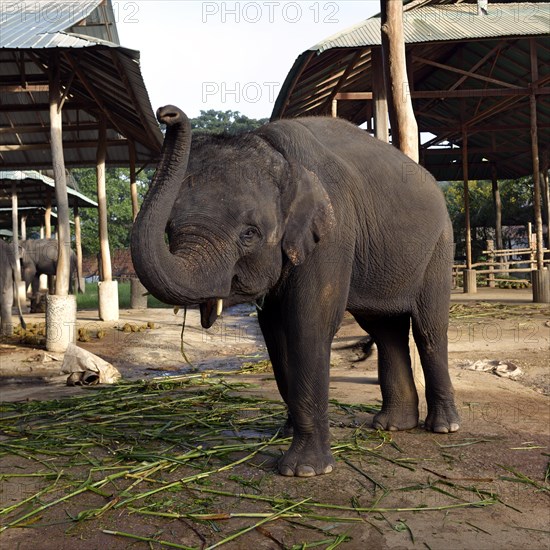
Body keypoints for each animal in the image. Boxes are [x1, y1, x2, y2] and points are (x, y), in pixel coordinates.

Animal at [133, 106, 462, 478]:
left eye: (249, 234)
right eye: (170, 228)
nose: (167, 113)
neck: (281, 157)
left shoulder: (332, 236)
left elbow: (309, 325)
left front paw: (303, 471)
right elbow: (275, 333)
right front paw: (286, 433)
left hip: (440, 247)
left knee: (428, 328)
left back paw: (443, 427)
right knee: (385, 328)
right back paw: (392, 425)